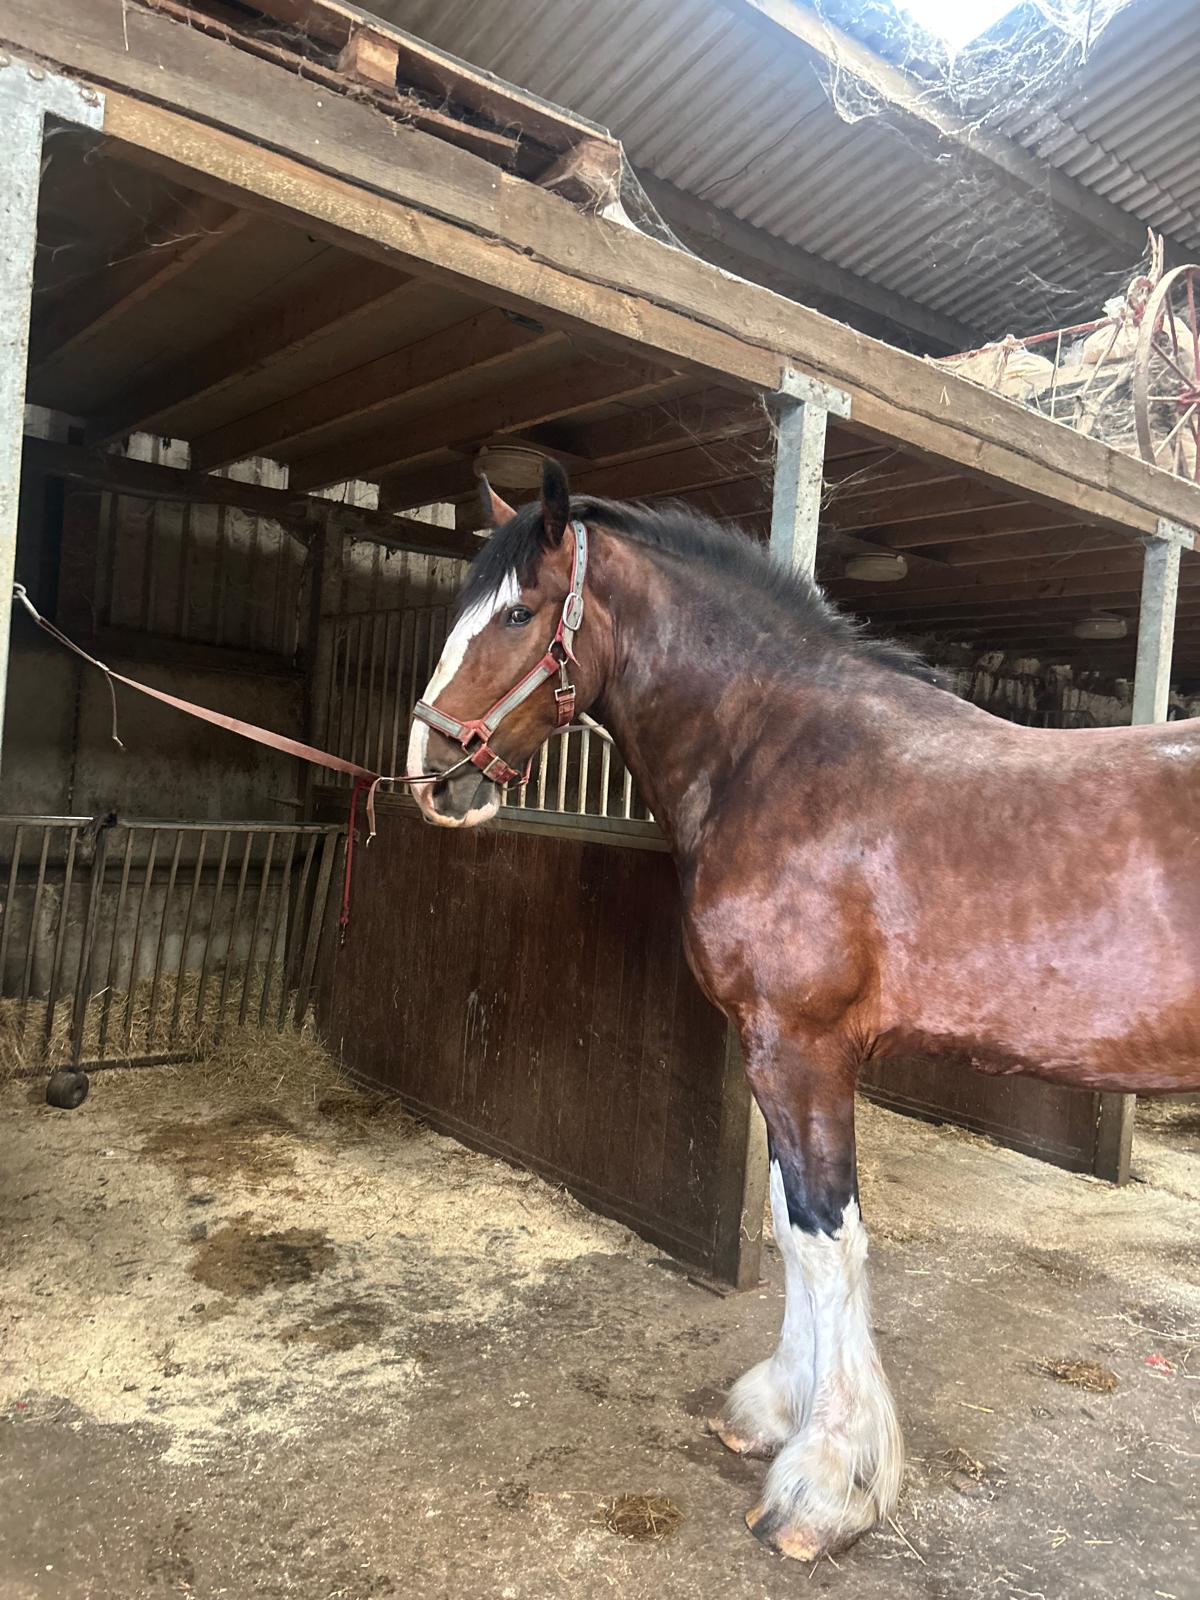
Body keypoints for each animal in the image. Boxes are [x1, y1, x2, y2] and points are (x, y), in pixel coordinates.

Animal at [405, 459, 1200, 1561]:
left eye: (519, 613)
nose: (428, 776)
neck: (782, 754)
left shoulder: (802, 1047)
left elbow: (828, 1241)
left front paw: (829, 1483)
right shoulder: (771, 1049)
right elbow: (789, 1228)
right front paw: (776, 1410)